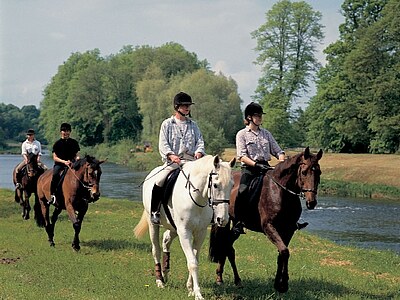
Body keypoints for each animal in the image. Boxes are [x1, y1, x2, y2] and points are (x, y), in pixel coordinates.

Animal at [134, 156, 234, 298]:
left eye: (232, 185)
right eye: (215, 185)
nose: (222, 219)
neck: (197, 199)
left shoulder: (200, 232)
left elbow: (195, 258)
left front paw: (190, 288)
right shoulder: (184, 232)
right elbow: (192, 263)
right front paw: (197, 294)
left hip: (173, 228)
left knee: (166, 241)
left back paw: (165, 272)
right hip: (152, 224)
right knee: (156, 250)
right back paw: (160, 280)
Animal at [208, 147, 324, 292]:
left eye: (319, 172)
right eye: (303, 172)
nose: (311, 202)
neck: (281, 192)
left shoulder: (288, 230)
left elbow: (282, 254)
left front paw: (280, 283)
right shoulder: (269, 227)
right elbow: (284, 252)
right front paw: (282, 284)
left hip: (235, 226)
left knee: (227, 246)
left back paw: (229, 278)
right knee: (226, 246)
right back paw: (227, 279)